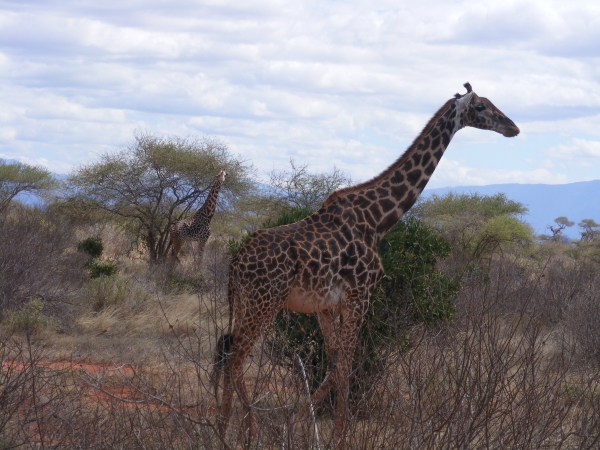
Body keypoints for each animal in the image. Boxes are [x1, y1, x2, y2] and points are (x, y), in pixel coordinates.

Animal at [213, 81, 516, 446]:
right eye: (481, 107)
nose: (513, 127)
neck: (377, 221)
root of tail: (235, 261)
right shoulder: (360, 295)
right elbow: (347, 365)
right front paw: (337, 438)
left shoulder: (326, 306)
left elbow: (333, 365)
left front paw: (298, 424)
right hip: (265, 302)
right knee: (235, 355)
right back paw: (246, 430)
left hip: (245, 302)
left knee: (228, 350)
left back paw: (224, 428)